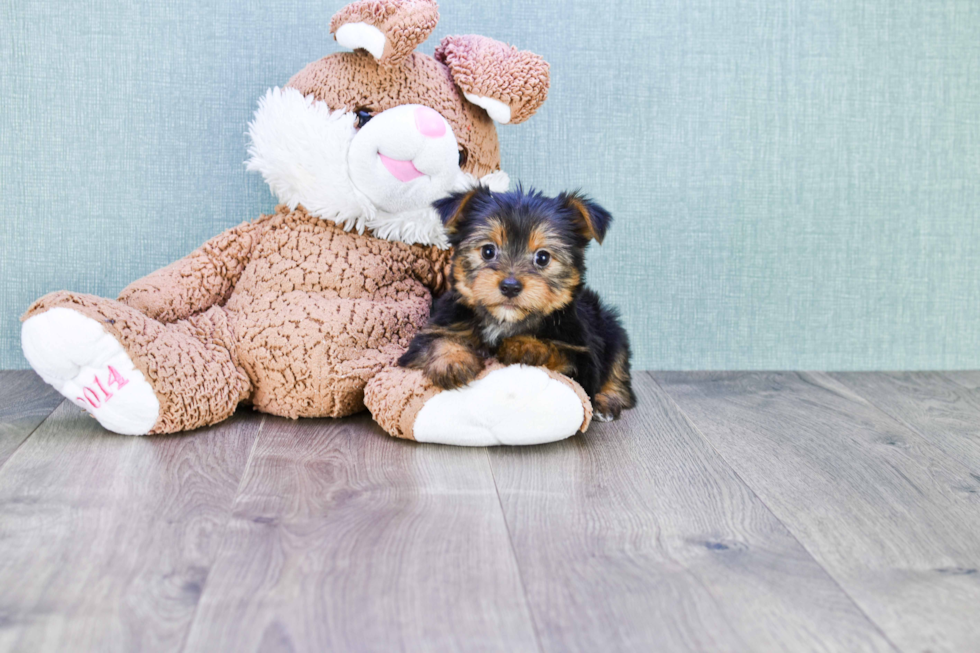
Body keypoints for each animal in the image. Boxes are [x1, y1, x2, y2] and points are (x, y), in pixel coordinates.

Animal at [396, 186, 636, 420]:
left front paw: (526, 345)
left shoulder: (582, 357)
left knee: (618, 369)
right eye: (488, 251)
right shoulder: (437, 328)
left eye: (542, 258)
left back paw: (608, 402)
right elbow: (436, 341)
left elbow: (561, 354)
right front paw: (452, 361)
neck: (504, 322)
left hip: (610, 327)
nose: (510, 286)